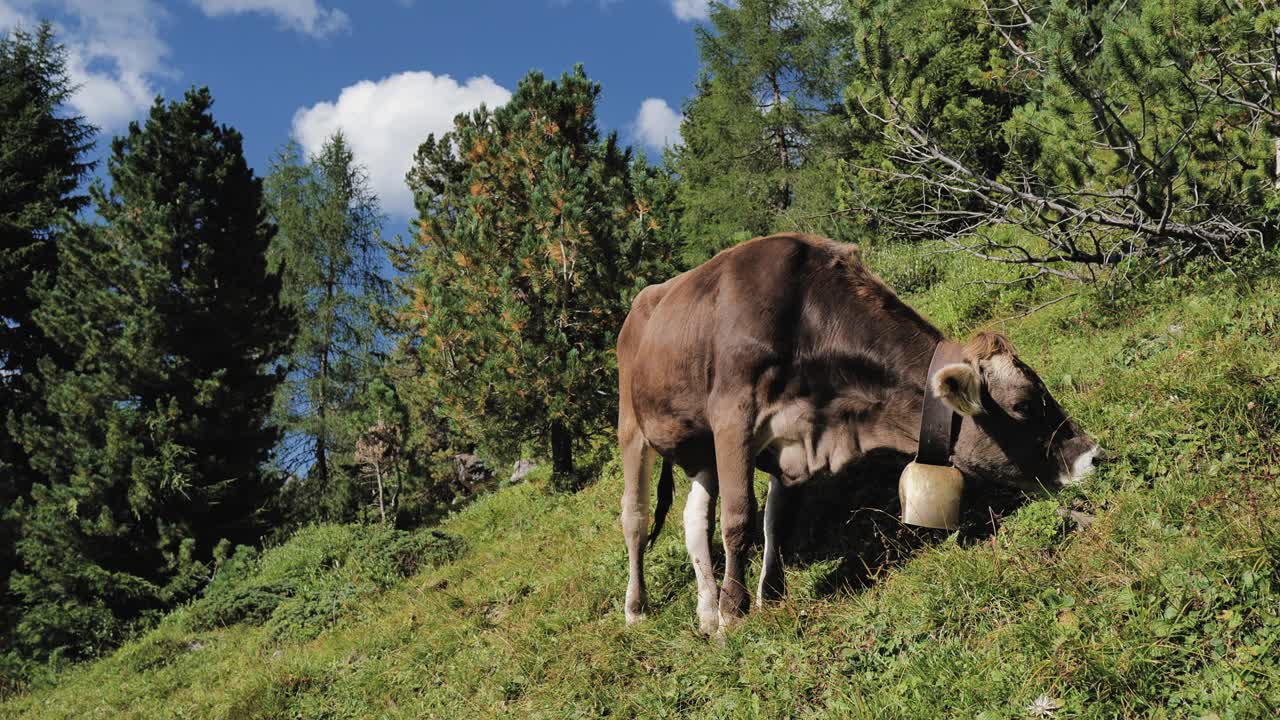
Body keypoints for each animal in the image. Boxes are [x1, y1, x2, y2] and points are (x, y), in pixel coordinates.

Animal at [616, 234, 1100, 632]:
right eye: (1023, 405)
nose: (1092, 455)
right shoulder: (733, 419)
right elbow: (739, 518)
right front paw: (735, 612)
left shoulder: (793, 437)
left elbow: (778, 520)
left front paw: (768, 598)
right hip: (632, 427)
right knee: (636, 519)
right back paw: (639, 609)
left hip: (699, 447)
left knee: (693, 517)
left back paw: (705, 611)